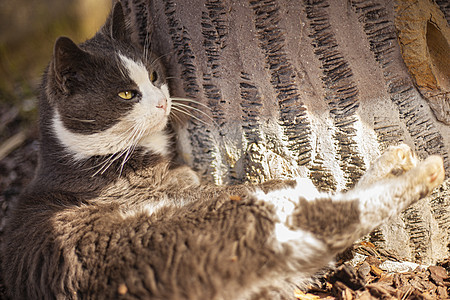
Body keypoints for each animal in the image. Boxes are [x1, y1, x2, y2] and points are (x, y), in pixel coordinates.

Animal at [0, 2, 442, 300]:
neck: (81, 155)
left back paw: (394, 160)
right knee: (333, 209)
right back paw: (422, 171)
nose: (162, 101)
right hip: (237, 214)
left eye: (155, 75)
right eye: (126, 94)